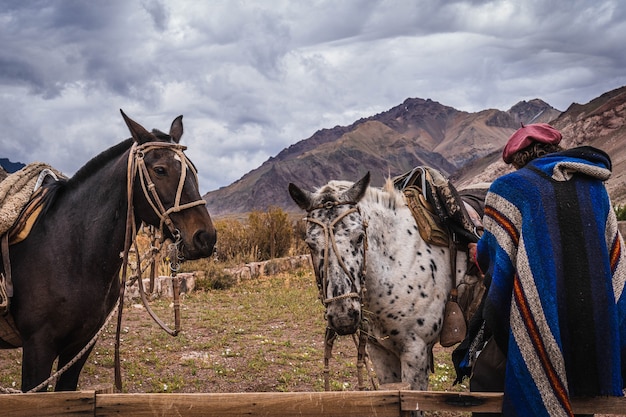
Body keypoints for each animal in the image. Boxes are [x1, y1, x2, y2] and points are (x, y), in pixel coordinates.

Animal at [1, 109, 217, 390]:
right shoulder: (38, 346)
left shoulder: (81, 343)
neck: (72, 252)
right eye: (160, 170)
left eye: (193, 170)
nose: (206, 237)